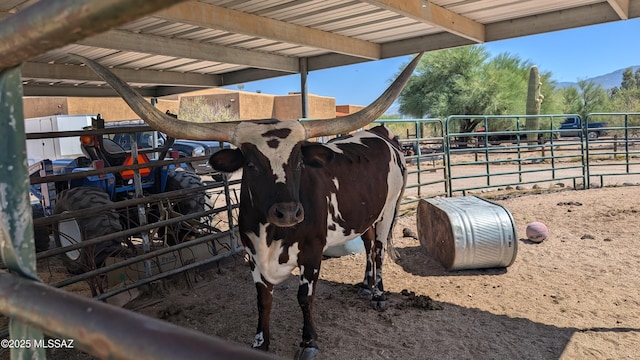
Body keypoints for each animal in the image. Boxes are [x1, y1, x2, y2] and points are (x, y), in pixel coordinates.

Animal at [75, 52, 422, 358]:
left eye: (298, 162)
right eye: (251, 165)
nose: (288, 212)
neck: (273, 236)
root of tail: (381, 134)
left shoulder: (312, 251)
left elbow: (304, 297)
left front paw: (308, 342)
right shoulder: (252, 254)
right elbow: (262, 300)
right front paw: (260, 342)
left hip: (388, 211)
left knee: (378, 250)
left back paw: (378, 294)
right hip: (367, 214)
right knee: (368, 244)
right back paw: (364, 286)